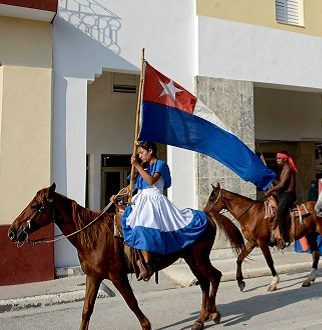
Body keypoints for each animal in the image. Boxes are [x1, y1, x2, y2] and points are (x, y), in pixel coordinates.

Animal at [8, 183, 244, 330]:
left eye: (36, 206)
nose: (12, 232)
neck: (91, 235)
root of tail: (207, 214)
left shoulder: (117, 276)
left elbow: (131, 302)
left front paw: (146, 325)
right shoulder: (93, 277)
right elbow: (86, 310)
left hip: (199, 258)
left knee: (214, 277)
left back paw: (212, 314)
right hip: (191, 259)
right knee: (205, 282)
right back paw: (203, 318)